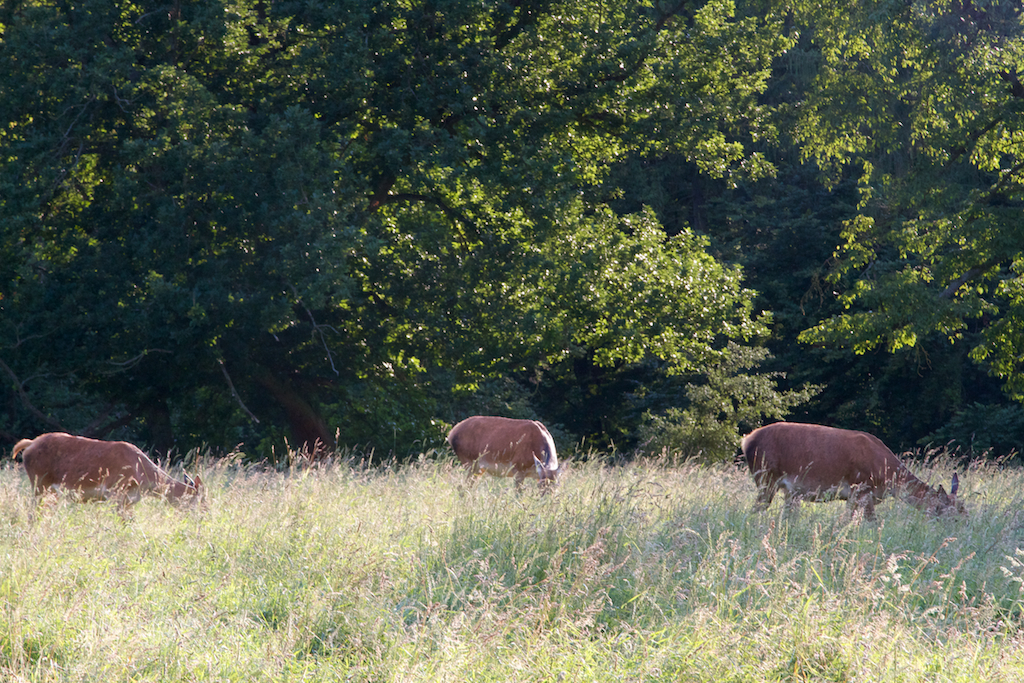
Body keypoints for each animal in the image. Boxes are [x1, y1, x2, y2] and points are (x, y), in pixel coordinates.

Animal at [11, 432, 204, 509]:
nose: (205, 514)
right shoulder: (115, 493)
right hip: (39, 482)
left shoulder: (129, 500)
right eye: (201, 499)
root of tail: (29, 445)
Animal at [741, 422, 965, 520]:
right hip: (766, 477)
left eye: (966, 512)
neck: (888, 477)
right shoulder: (861, 488)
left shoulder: (856, 496)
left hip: (788, 491)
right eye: (953, 517)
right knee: (754, 510)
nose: (964, 533)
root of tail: (747, 440)